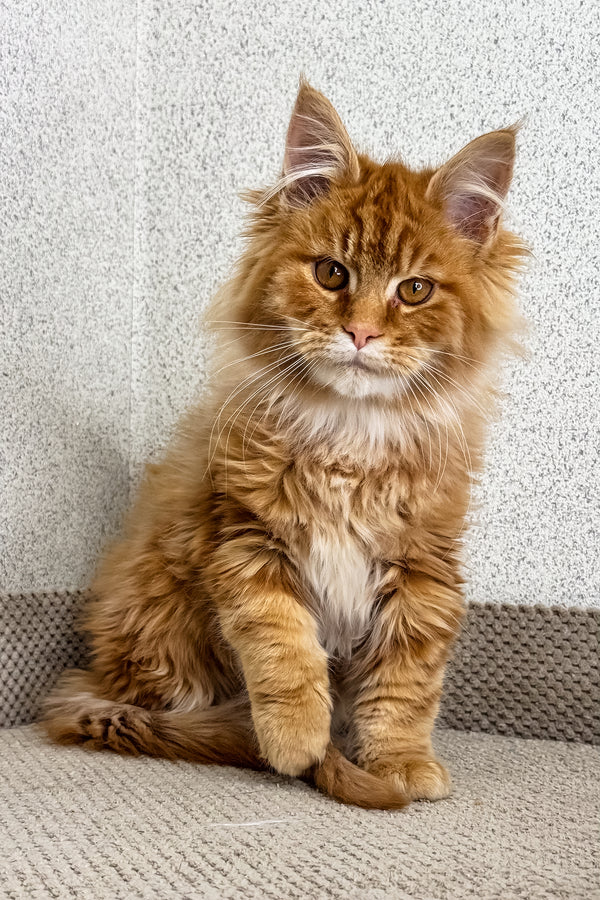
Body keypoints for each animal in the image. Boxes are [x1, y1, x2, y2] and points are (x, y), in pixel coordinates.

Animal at [43, 77, 524, 808]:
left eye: (414, 290)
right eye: (331, 274)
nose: (361, 333)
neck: (350, 436)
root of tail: (97, 684)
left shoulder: (422, 566)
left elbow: (404, 683)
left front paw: (401, 760)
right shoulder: (246, 539)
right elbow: (283, 647)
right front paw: (297, 739)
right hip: (156, 615)